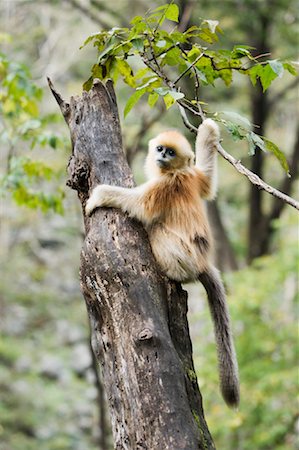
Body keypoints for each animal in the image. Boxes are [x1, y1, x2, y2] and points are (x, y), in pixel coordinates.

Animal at [86, 119, 241, 408]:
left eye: (170, 152)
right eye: (160, 149)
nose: (161, 156)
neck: (176, 172)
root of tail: (202, 263)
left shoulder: (166, 185)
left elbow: (139, 205)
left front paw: (99, 195)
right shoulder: (195, 178)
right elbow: (207, 182)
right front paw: (208, 130)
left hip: (182, 258)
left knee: (156, 227)